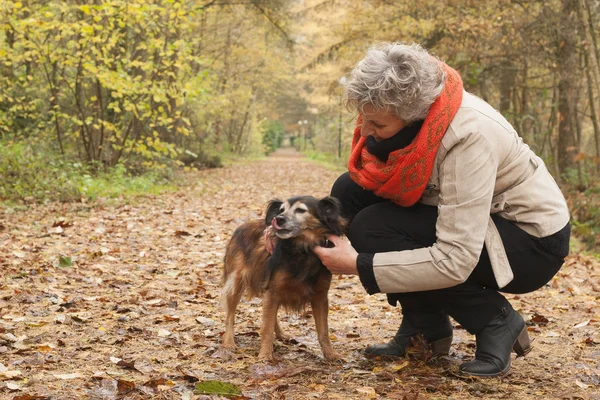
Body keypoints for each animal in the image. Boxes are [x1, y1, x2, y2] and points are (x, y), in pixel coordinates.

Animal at [221, 195, 346, 360]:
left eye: (300, 210)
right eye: (281, 210)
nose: (278, 219)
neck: (303, 251)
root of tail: (242, 226)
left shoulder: (320, 297)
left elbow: (323, 331)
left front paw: (331, 353)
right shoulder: (274, 290)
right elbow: (266, 329)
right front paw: (264, 356)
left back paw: (281, 334)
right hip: (236, 281)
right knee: (230, 314)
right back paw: (228, 342)